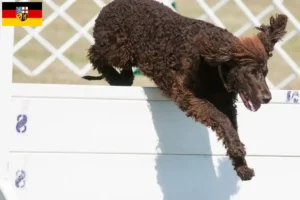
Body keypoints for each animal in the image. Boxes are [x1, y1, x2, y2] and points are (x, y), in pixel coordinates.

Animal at [84, 0, 288, 180]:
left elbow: (231, 127)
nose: (267, 98)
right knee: (96, 53)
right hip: (117, 48)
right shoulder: (188, 96)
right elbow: (221, 119)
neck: (214, 66)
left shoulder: (226, 104)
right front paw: (238, 151)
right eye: (250, 73)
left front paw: (241, 165)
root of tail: (112, 4)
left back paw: (123, 78)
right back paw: (114, 76)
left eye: (265, 73)